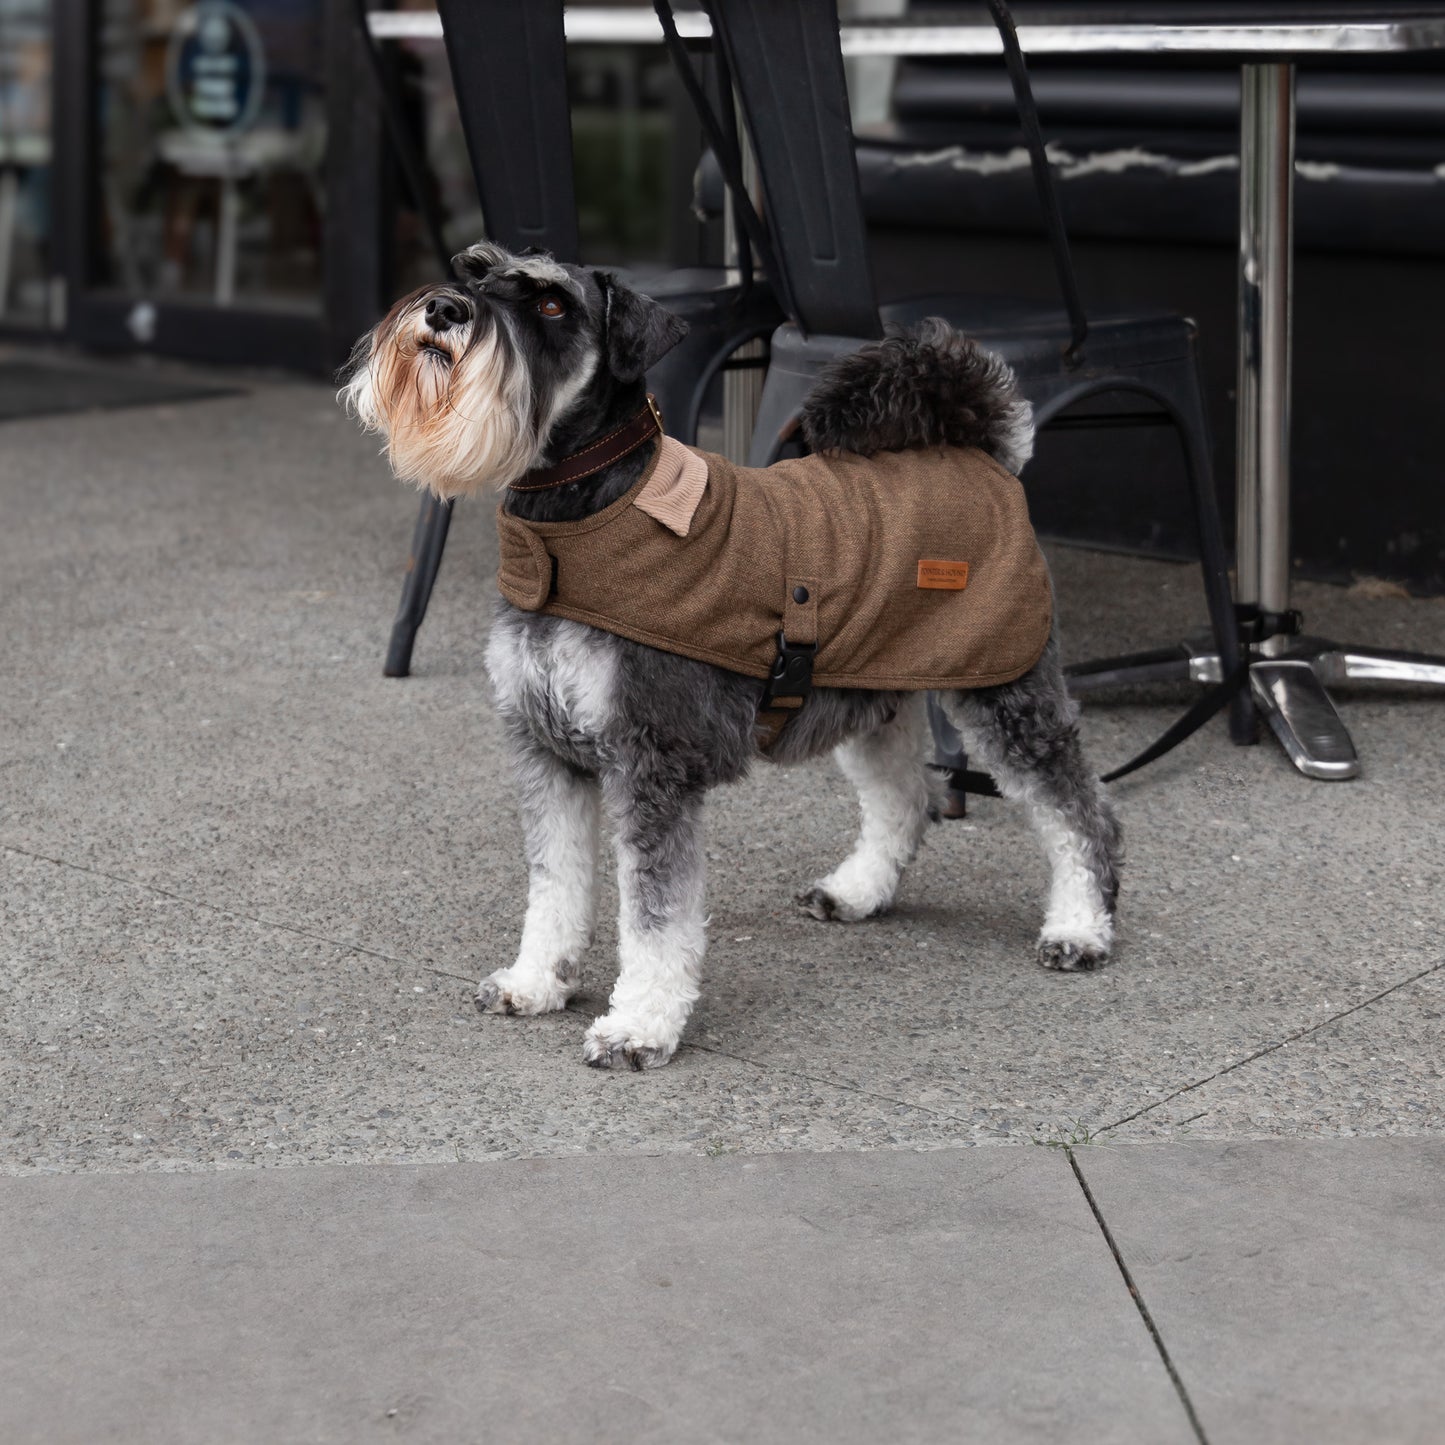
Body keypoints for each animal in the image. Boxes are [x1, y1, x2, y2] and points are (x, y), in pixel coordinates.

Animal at [343, 242, 1121, 1069]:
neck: (579, 522)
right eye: (477, 270)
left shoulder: (652, 762)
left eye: (552, 304)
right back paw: (856, 891)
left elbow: (654, 913)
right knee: (903, 798)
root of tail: (984, 454)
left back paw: (1079, 927)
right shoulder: (547, 754)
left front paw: (637, 1024)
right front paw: (535, 980)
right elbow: (554, 882)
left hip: (1007, 693)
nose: (444, 309)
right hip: (872, 699)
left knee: (1079, 809)